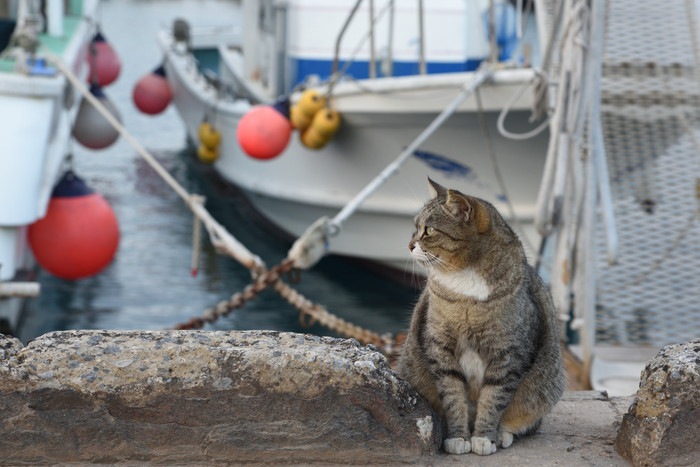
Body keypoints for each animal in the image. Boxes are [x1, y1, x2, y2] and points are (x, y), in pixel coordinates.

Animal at [400, 178, 564, 458]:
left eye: (428, 230)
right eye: (415, 228)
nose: (409, 245)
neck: (464, 278)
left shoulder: (508, 353)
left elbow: (493, 398)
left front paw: (484, 437)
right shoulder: (440, 347)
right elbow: (453, 396)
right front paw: (458, 436)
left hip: (546, 386)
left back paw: (503, 434)